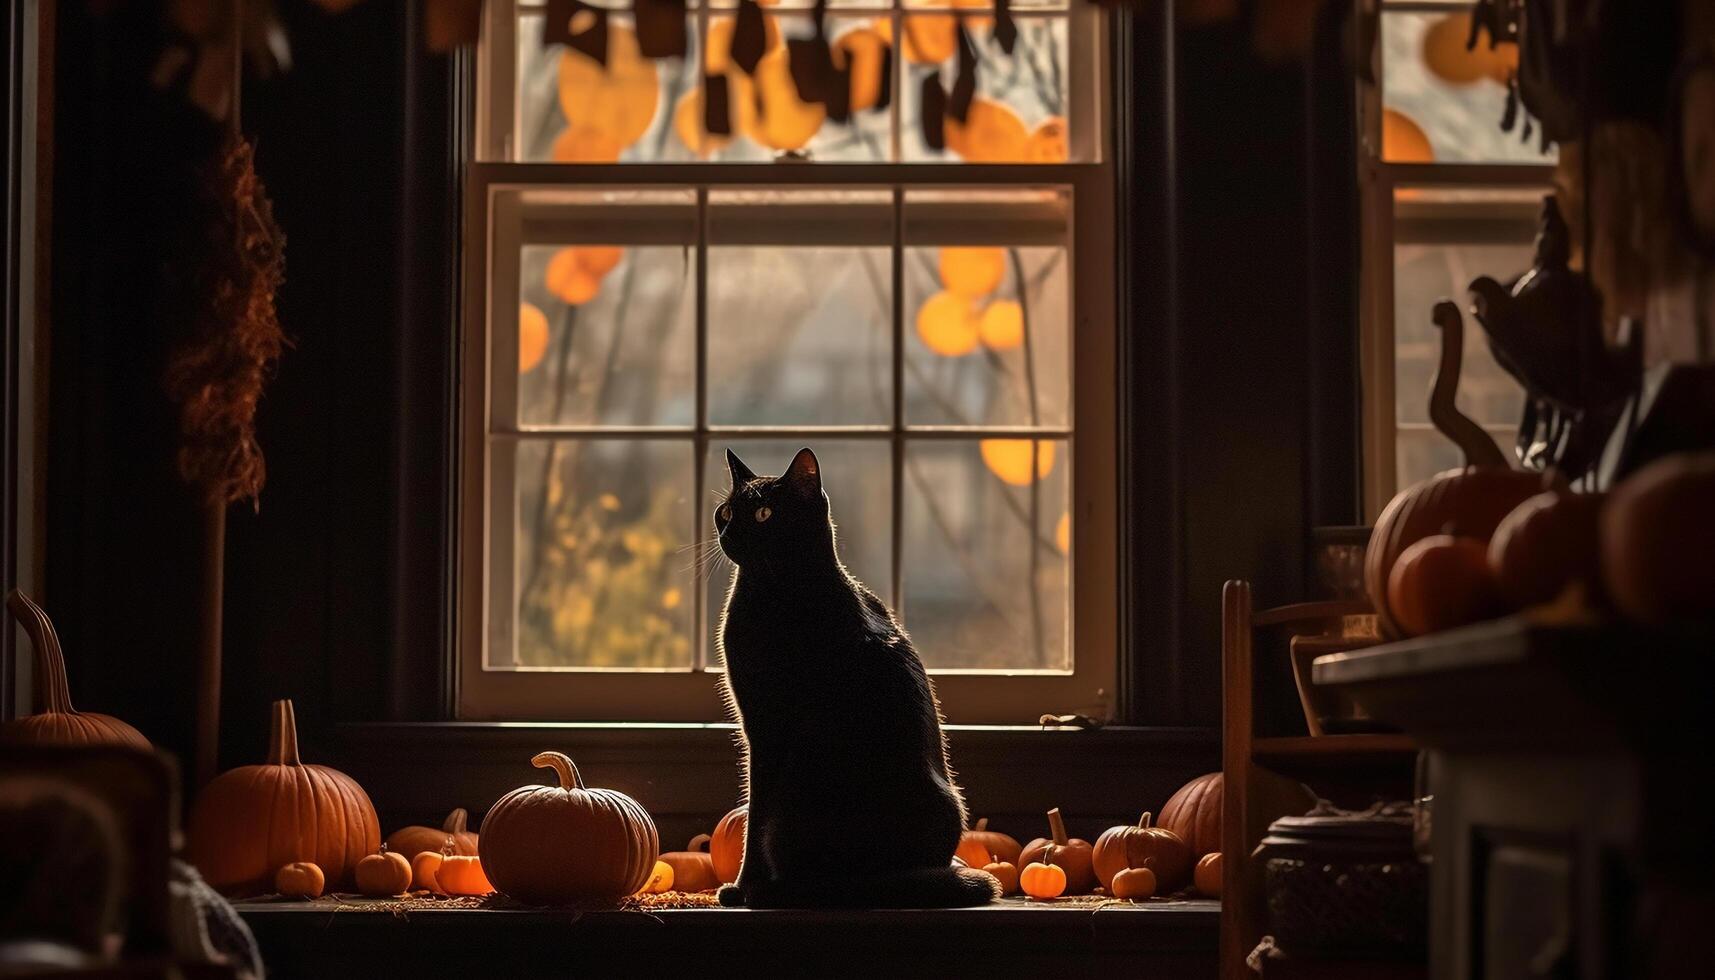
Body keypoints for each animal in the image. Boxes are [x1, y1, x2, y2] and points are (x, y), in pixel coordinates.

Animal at [713, 453, 1001, 913]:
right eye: (725, 512)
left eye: (763, 514)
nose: (728, 533)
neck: (779, 587)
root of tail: (879, 880)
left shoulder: (764, 732)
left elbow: (754, 818)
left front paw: (742, 888)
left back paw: (769, 892)